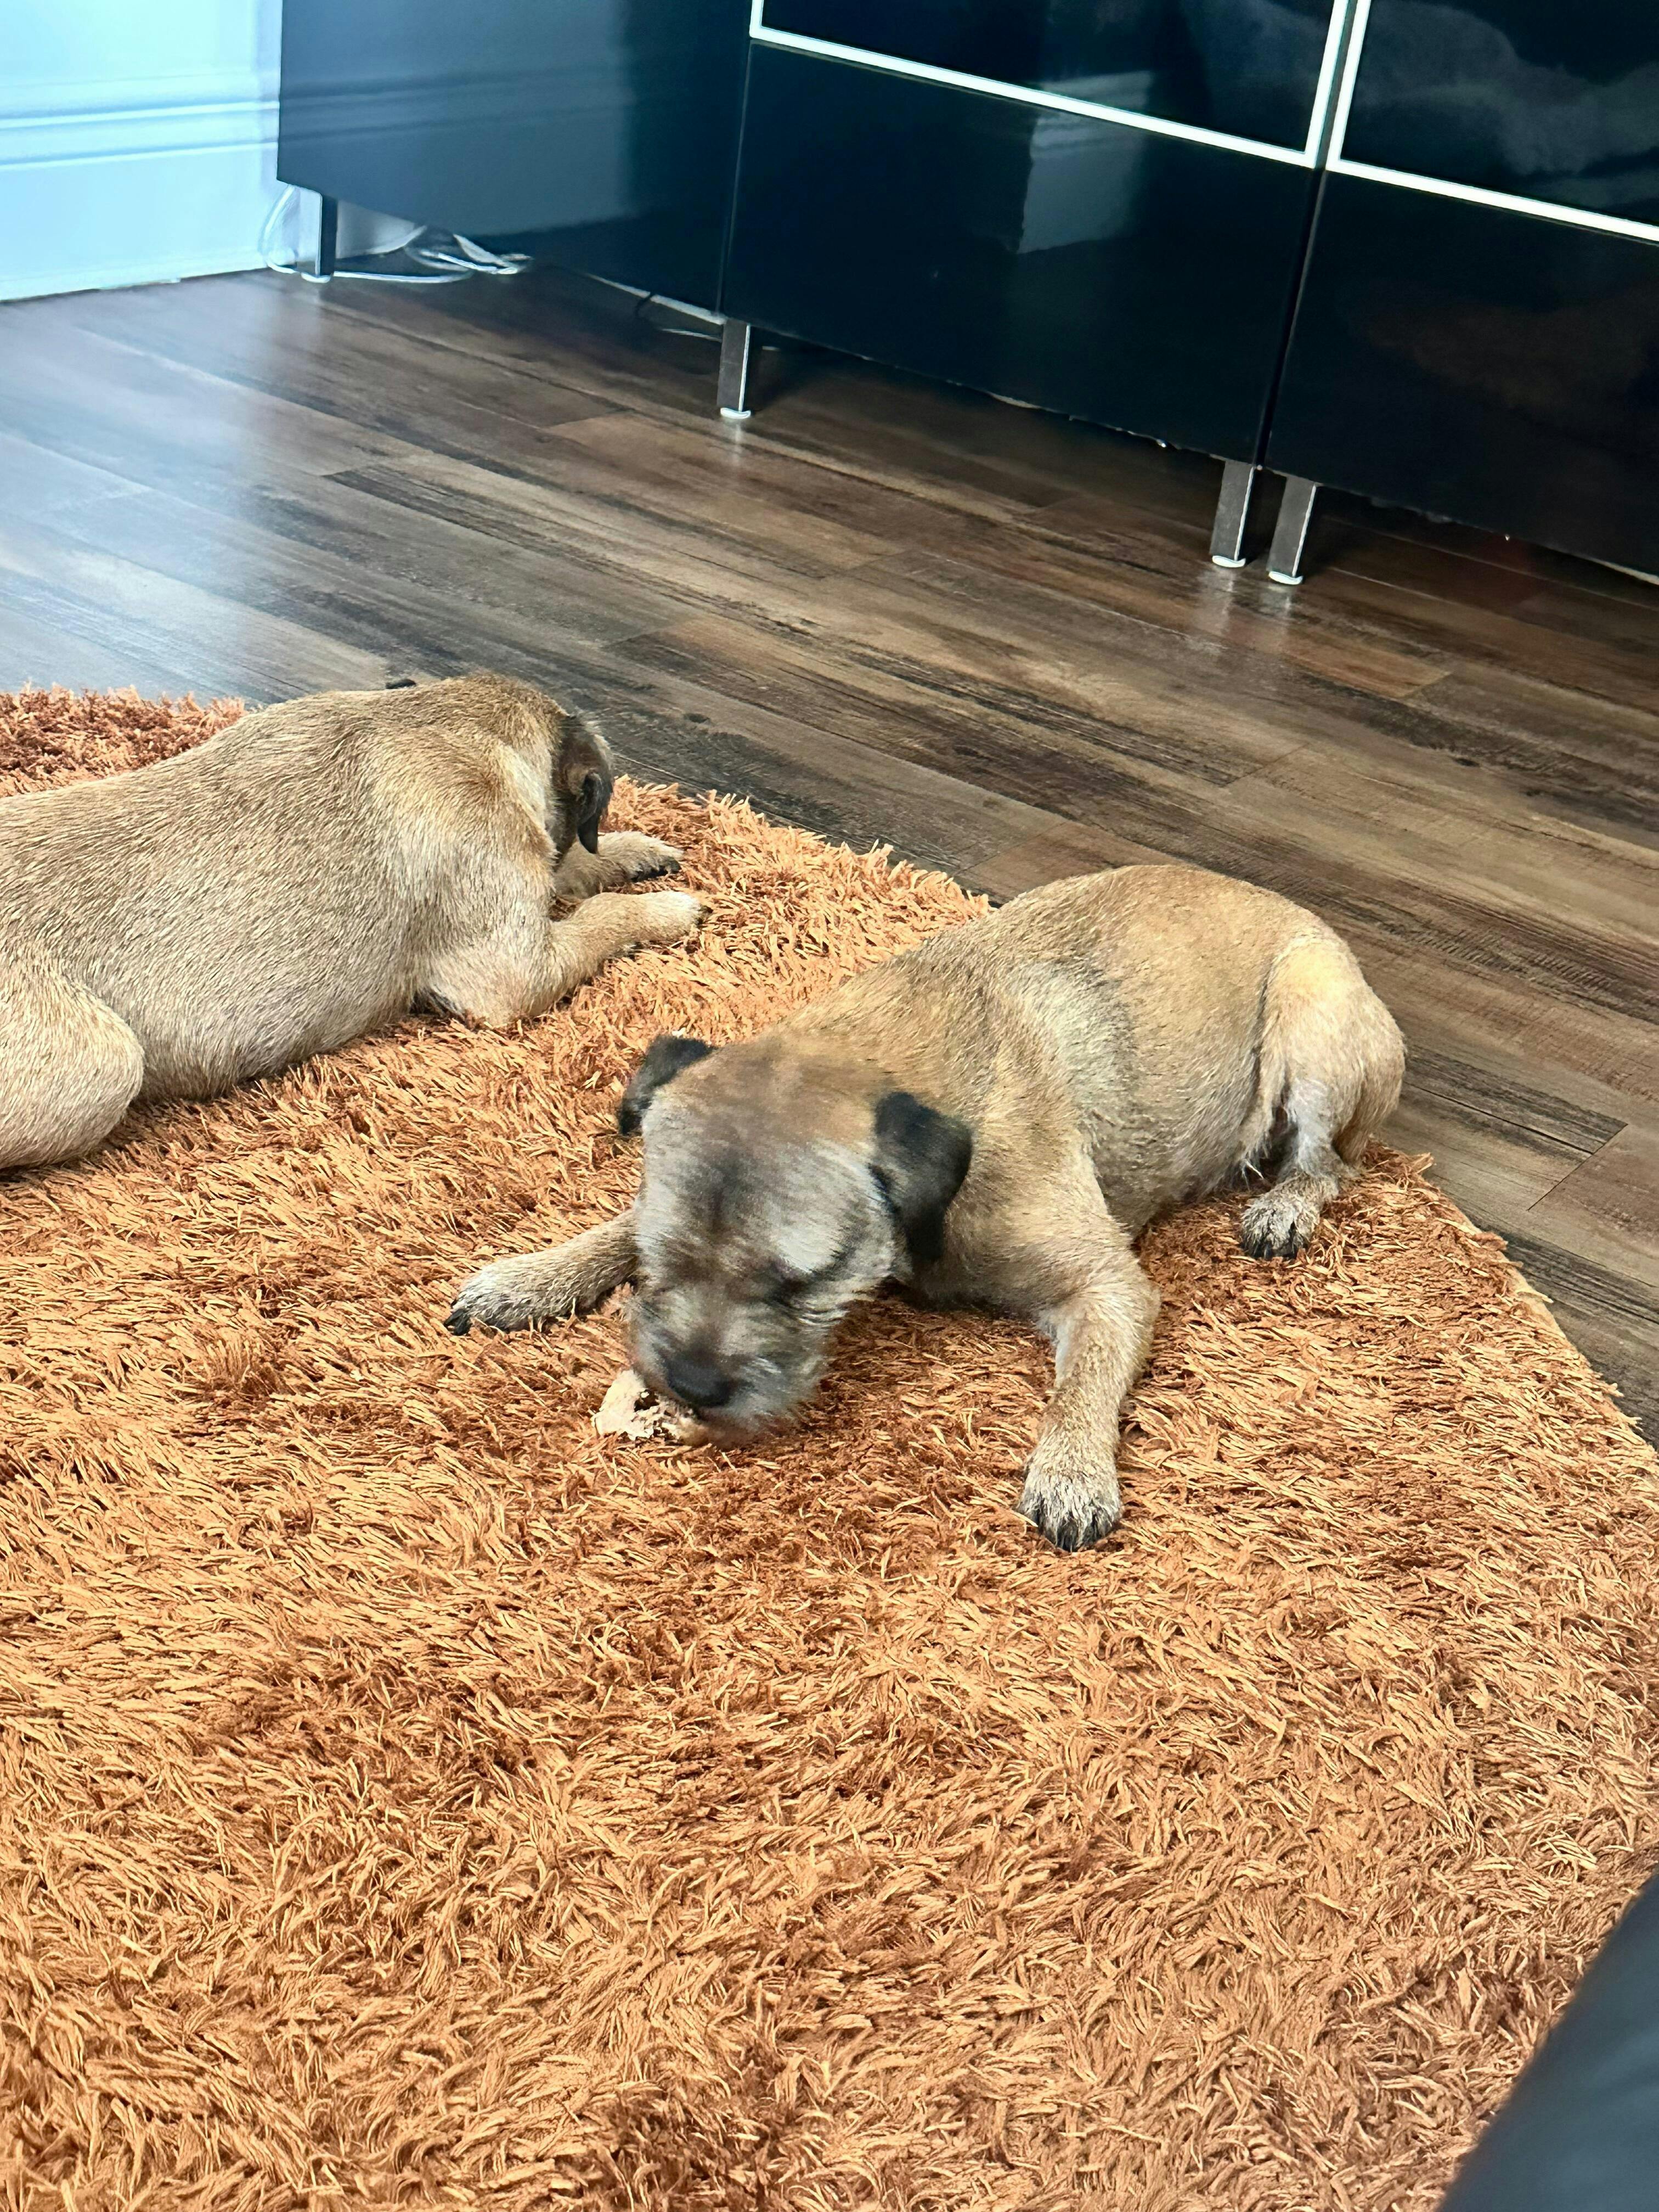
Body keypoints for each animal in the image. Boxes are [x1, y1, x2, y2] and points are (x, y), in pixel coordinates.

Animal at [0, 674, 701, 1172]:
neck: (448, 723)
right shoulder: (514, 975)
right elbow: (601, 914)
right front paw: (666, 908)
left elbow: (575, 865)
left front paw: (634, 851)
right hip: (105, 1068)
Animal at [446, 864, 1404, 1550]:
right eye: (661, 1261)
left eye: (801, 1283)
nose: (690, 1386)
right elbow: (611, 1227)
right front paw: (536, 1276)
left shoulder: (1107, 1285)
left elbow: (1082, 1379)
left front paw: (1072, 1472)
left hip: (1312, 1022)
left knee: (1328, 1164)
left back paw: (1285, 1209)